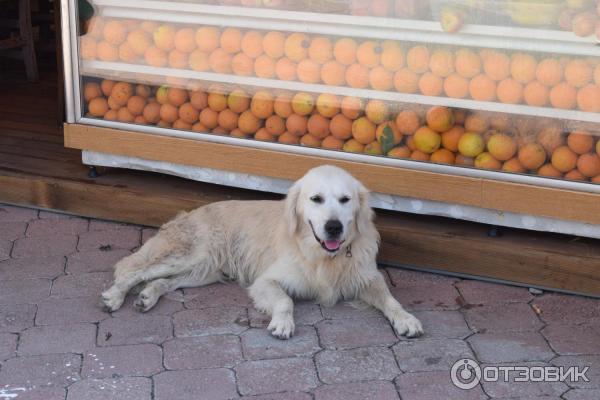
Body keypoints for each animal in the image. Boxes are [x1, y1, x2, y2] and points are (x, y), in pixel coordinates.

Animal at [101, 164, 424, 340]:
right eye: (316, 199)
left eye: (345, 199)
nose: (333, 227)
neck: (323, 257)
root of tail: (188, 213)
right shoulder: (266, 281)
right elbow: (285, 301)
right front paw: (282, 323)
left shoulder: (366, 278)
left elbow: (391, 300)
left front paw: (406, 319)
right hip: (191, 254)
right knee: (131, 269)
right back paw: (114, 296)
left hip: (204, 271)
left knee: (161, 281)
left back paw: (147, 297)